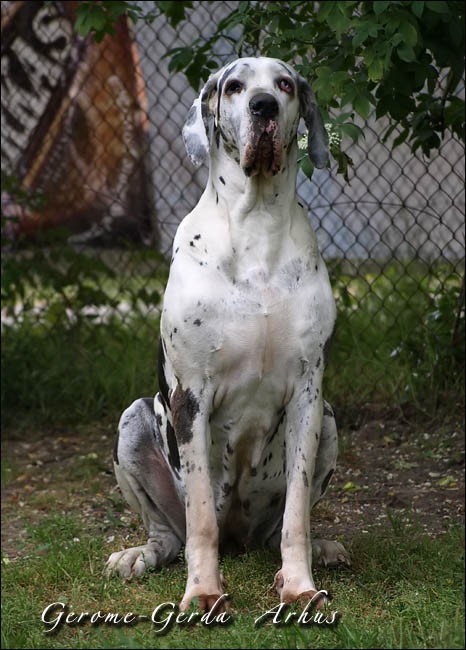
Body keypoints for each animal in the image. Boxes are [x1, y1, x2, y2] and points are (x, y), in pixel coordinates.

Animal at [106, 57, 349, 611]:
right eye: (234, 86)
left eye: (285, 84)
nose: (264, 106)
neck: (256, 223)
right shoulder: (191, 397)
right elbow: (198, 518)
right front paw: (202, 591)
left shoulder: (309, 395)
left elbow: (297, 514)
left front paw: (299, 584)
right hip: (133, 423)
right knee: (170, 533)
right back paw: (139, 555)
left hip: (328, 421)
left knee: (278, 527)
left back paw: (320, 549)